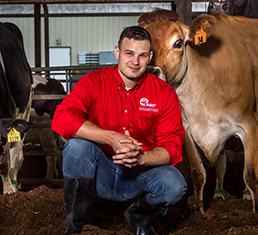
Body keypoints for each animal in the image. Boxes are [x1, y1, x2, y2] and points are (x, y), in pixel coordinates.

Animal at [140, 10, 258, 214]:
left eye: (178, 43)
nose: (150, 71)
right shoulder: (187, 129)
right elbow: (198, 173)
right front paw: (200, 211)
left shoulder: (249, 125)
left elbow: (250, 174)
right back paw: (219, 193)